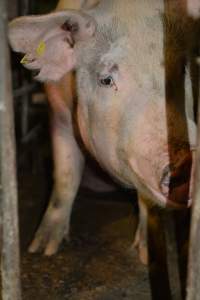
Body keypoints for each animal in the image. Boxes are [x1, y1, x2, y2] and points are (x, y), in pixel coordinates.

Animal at [9, 0, 197, 262]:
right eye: (106, 80)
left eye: (181, 70)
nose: (185, 161)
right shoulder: (58, 113)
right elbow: (65, 175)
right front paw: (42, 249)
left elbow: (147, 200)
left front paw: (146, 256)